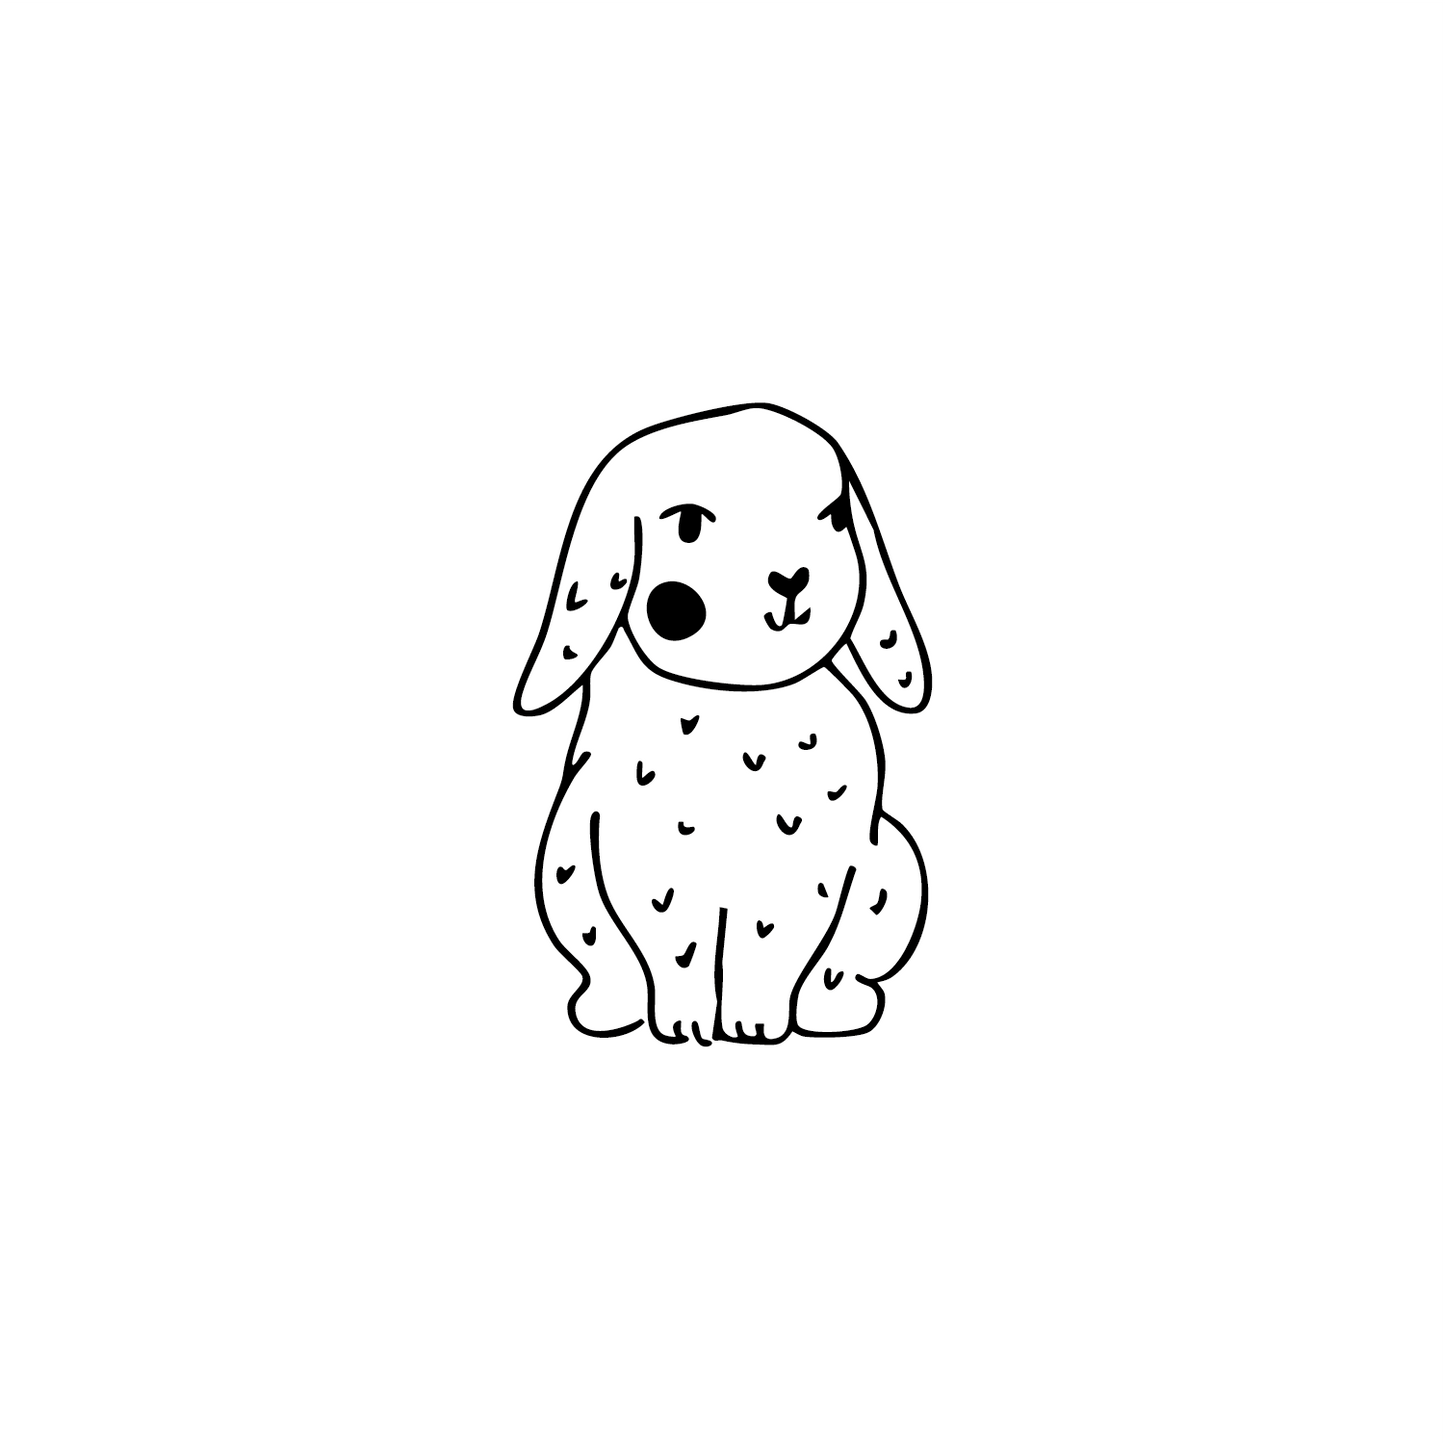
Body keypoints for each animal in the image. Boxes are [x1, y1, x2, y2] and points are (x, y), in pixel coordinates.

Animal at [513, 403, 930, 1045]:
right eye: (687, 525)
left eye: (836, 519)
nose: (793, 578)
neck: (737, 697)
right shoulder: (649, 867)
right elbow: (677, 949)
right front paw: (682, 1022)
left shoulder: (801, 874)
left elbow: (770, 947)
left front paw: (755, 1022)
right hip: (566, 871)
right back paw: (610, 1010)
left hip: (895, 864)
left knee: (838, 969)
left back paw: (834, 1011)